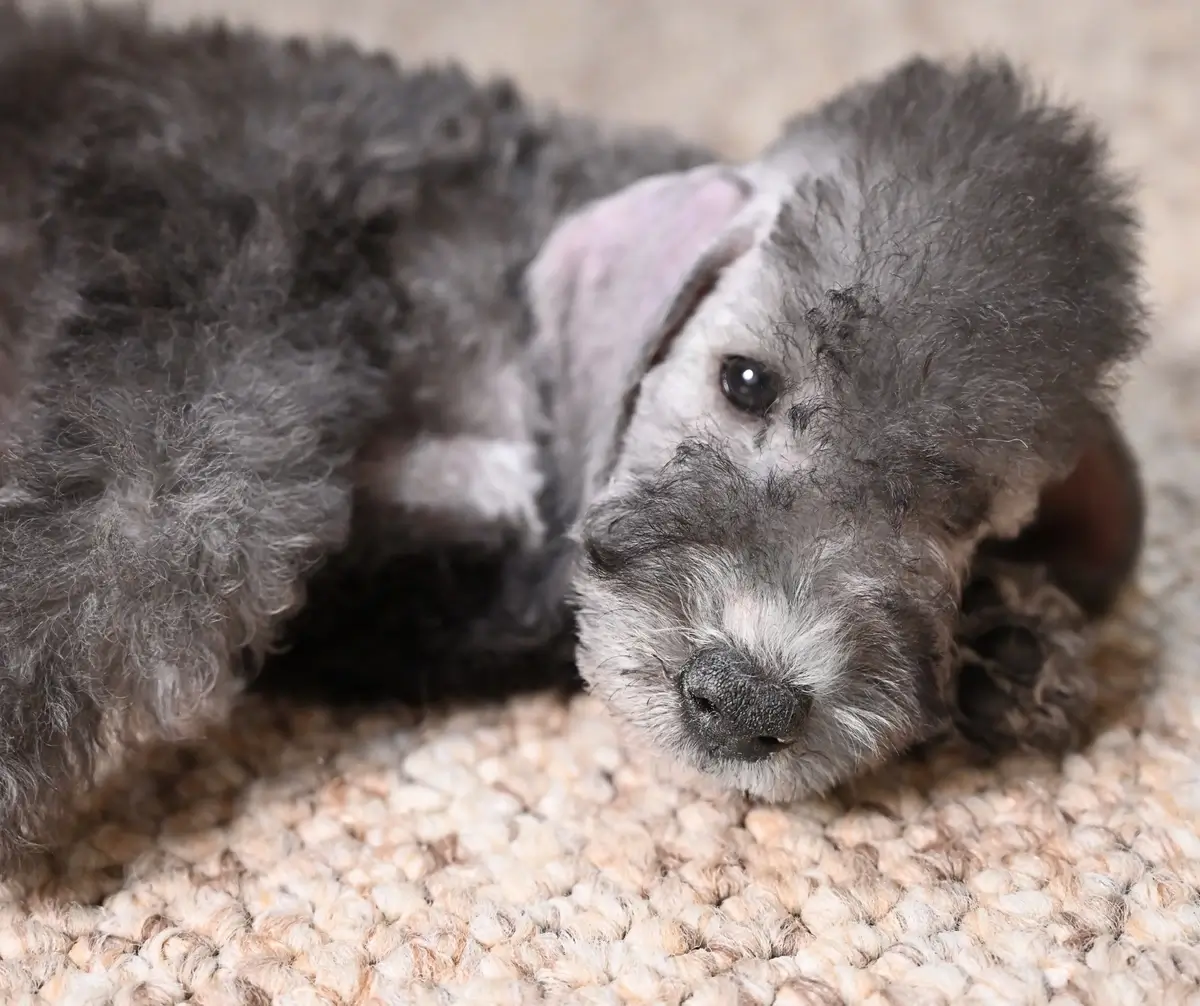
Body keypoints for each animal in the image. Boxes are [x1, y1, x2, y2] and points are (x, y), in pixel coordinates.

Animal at [0, 3, 1147, 864]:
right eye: (746, 381)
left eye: (965, 511)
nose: (743, 705)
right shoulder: (218, 282)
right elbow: (146, 496)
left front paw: (1015, 645)